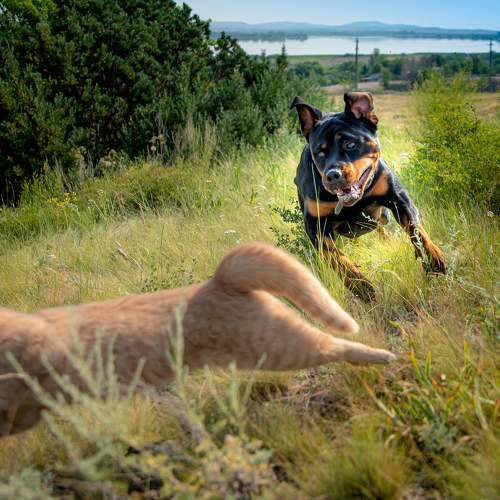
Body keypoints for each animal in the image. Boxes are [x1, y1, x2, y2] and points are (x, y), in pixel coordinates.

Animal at [291, 92, 446, 300]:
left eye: (350, 144)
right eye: (320, 152)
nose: (332, 175)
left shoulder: (399, 198)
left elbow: (416, 230)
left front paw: (433, 258)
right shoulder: (316, 226)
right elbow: (336, 258)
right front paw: (361, 287)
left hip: (382, 216)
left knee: (380, 226)